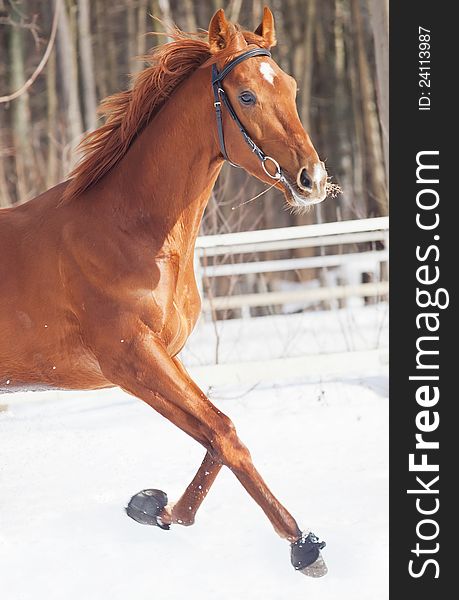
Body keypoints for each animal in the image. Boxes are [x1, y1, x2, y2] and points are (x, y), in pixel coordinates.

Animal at [0, 5, 330, 576]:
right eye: (246, 95)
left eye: (289, 85)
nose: (312, 178)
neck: (133, 233)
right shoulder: (131, 360)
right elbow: (222, 432)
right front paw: (301, 542)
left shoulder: (165, 356)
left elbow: (218, 432)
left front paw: (155, 508)